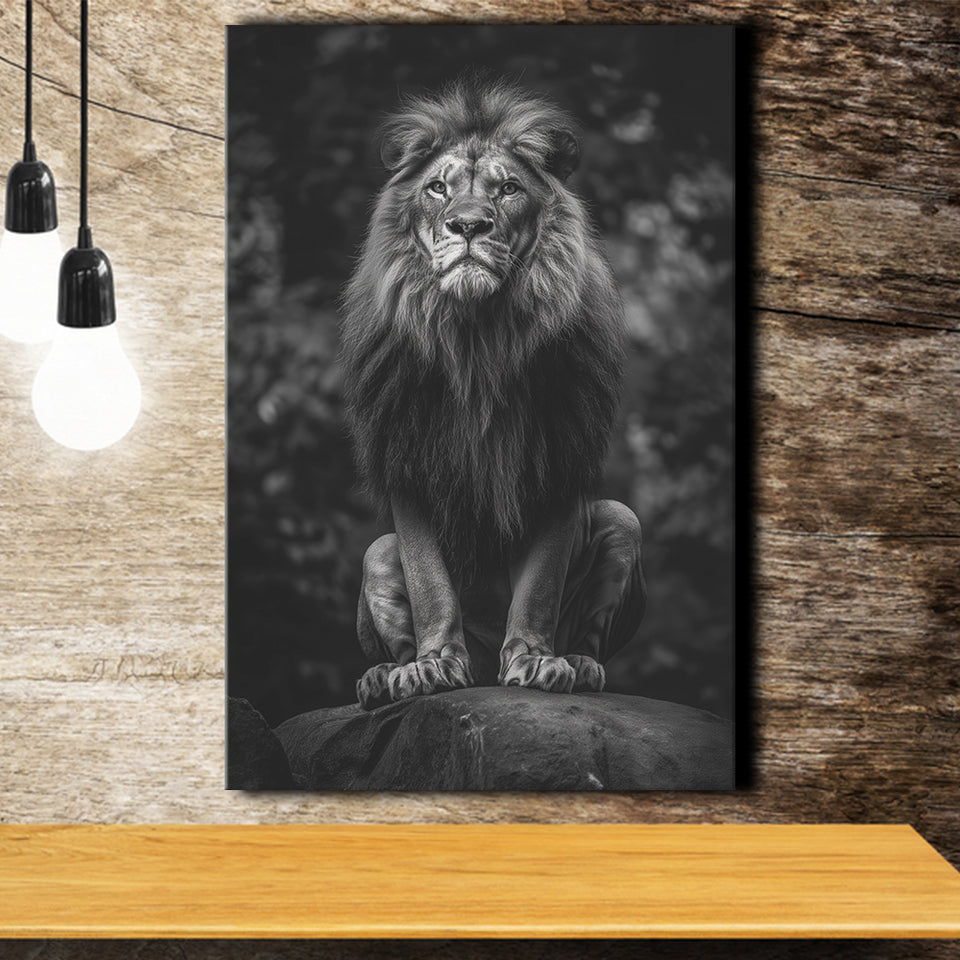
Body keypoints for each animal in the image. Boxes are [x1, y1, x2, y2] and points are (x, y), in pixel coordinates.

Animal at [341, 80, 646, 710]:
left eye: (508, 189)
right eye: (438, 188)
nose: (468, 226)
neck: (477, 337)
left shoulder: (560, 459)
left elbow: (539, 585)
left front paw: (535, 660)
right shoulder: (407, 459)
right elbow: (430, 584)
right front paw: (433, 666)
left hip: (623, 520)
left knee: (593, 636)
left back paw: (580, 665)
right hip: (377, 553)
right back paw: (384, 678)